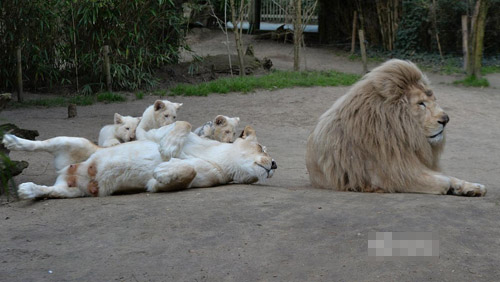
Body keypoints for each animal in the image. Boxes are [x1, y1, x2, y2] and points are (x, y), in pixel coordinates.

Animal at [2, 121, 278, 198]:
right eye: (262, 147)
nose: (275, 164)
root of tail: (65, 174)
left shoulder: (190, 181)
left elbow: (185, 171)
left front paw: (163, 170)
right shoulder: (147, 132)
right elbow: (182, 124)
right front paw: (169, 149)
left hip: (72, 192)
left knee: (50, 191)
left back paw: (29, 190)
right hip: (75, 142)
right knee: (40, 144)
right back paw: (12, 140)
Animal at [304, 59, 484, 196]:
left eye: (433, 100)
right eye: (421, 104)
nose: (446, 119)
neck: (400, 131)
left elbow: (449, 177)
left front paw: (473, 187)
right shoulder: (391, 175)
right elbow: (443, 181)